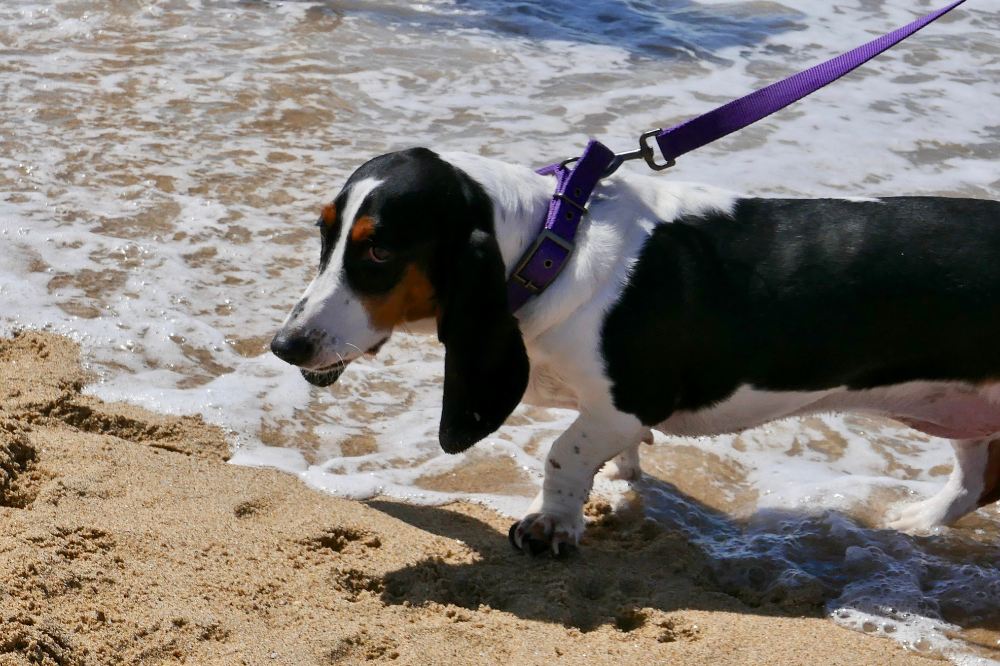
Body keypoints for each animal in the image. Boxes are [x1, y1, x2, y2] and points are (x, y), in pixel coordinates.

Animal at [270, 148, 1000, 552]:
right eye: (325, 234)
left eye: (379, 252)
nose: (283, 345)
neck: (550, 249)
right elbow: (605, 455)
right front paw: (621, 482)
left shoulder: (625, 402)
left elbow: (562, 453)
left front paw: (551, 526)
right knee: (974, 482)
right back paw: (919, 520)